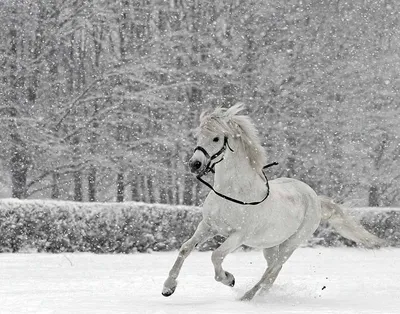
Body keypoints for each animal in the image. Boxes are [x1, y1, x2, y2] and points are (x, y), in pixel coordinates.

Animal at [161, 104, 382, 300]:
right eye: (198, 136)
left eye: (216, 138)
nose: (195, 164)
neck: (233, 192)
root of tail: (314, 197)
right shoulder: (207, 226)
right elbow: (185, 248)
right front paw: (168, 288)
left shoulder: (238, 235)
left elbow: (216, 255)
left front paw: (229, 279)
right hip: (270, 245)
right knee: (273, 268)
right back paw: (262, 293)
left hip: (291, 243)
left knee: (273, 268)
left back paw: (248, 296)